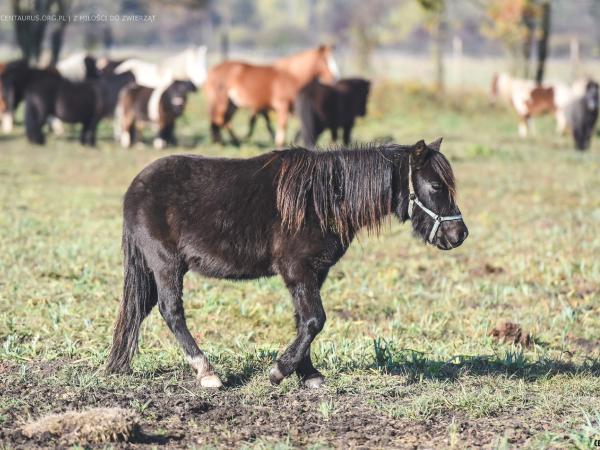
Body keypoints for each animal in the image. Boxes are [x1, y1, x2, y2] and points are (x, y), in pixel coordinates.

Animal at [106, 139, 468, 388]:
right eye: (436, 185)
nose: (459, 234)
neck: (323, 200)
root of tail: (135, 187)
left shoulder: (314, 273)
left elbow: (303, 320)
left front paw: (307, 373)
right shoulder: (298, 270)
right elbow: (314, 320)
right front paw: (280, 371)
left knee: (139, 308)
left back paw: (120, 365)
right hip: (166, 264)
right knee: (171, 311)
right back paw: (206, 371)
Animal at [205, 45, 338, 146]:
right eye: (325, 60)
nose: (334, 78)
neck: (292, 76)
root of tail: (211, 71)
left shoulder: (292, 108)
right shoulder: (282, 106)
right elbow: (282, 125)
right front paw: (280, 143)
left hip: (232, 104)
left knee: (222, 121)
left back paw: (231, 141)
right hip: (222, 102)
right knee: (220, 120)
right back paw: (232, 140)